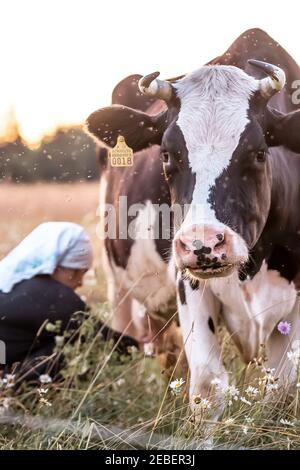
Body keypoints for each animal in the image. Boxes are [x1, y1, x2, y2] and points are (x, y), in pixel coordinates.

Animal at [85, 28, 300, 418]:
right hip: (119, 285)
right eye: (167, 155)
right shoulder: (188, 281)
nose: (204, 243)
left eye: (260, 152)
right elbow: (208, 383)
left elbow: (281, 385)